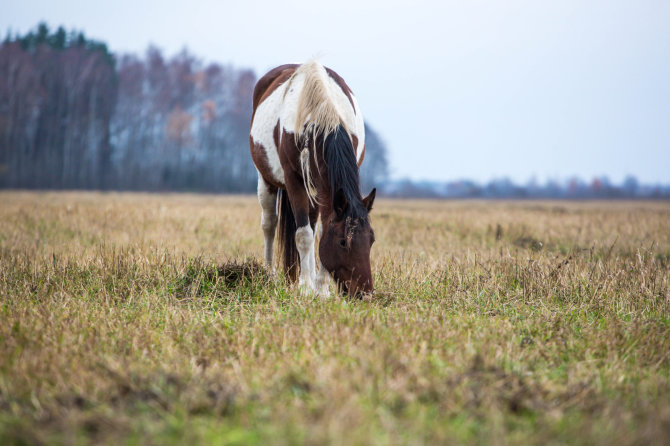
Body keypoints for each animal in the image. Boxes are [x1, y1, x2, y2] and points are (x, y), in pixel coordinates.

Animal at [251, 59, 378, 296]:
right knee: (269, 224)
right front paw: (307, 288)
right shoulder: (294, 180)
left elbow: (318, 232)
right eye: (342, 242)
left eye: (371, 240)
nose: (364, 294)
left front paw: (321, 289)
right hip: (267, 180)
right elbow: (303, 235)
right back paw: (269, 275)